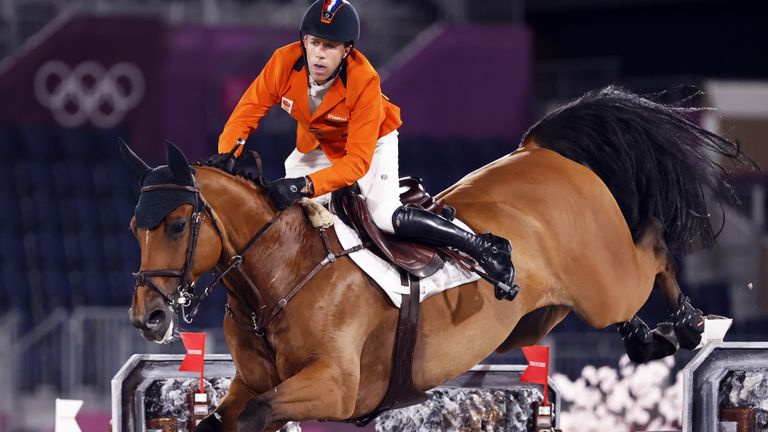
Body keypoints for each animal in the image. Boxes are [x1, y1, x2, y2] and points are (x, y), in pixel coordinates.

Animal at [120, 86, 752, 430]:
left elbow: (258, 416)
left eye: (176, 224)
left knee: (654, 248)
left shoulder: (334, 387)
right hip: (537, 319)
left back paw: (693, 323)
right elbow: (227, 415)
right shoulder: (250, 384)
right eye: (134, 228)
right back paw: (649, 336)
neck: (280, 275)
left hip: (605, 284)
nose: (149, 317)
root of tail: (540, 151)